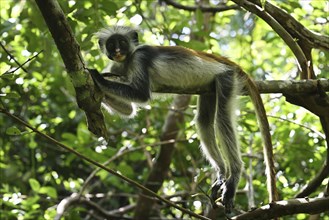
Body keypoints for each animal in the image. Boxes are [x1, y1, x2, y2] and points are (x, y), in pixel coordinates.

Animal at [88, 25, 276, 213]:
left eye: (122, 42)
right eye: (111, 44)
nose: (118, 51)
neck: (126, 61)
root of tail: (226, 63)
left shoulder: (140, 58)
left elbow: (141, 94)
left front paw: (96, 76)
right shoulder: (116, 67)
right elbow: (129, 110)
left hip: (227, 78)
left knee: (222, 119)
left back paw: (233, 177)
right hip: (210, 88)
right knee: (203, 121)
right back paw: (222, 172)